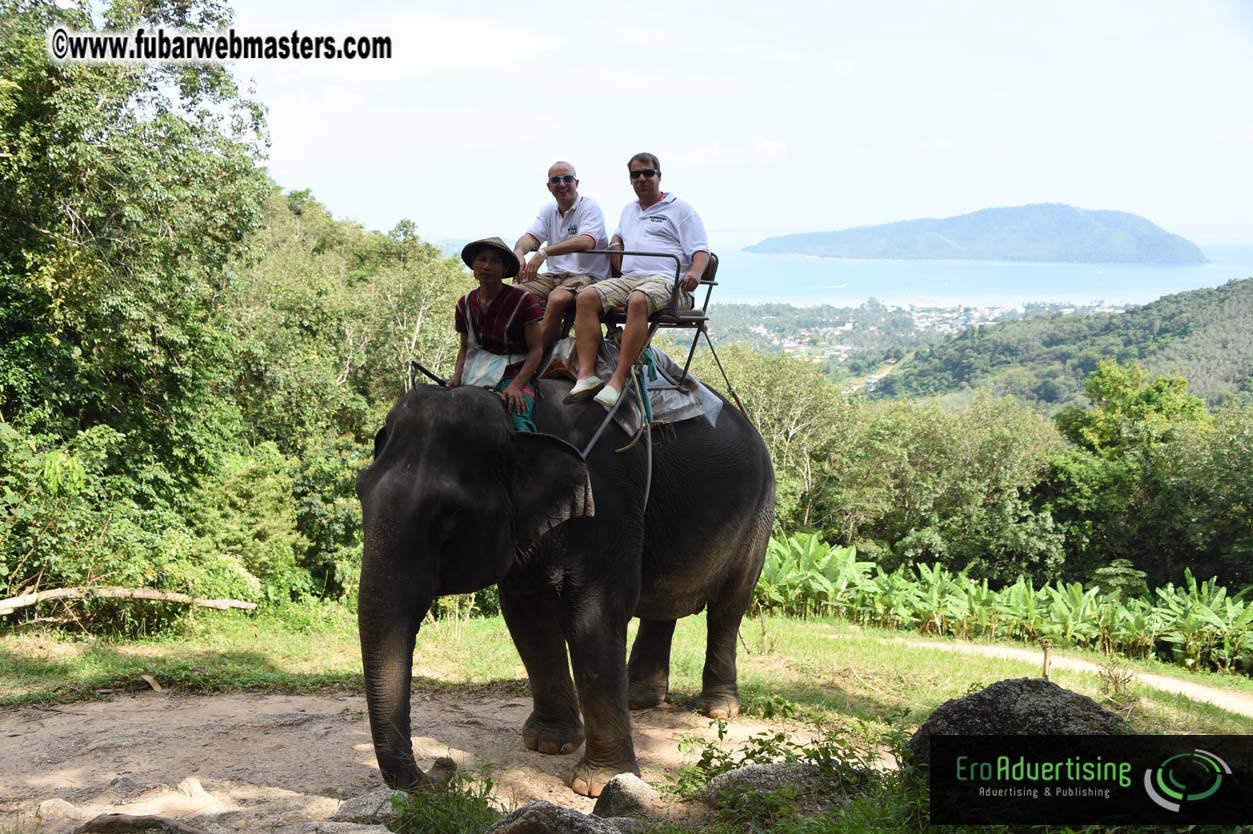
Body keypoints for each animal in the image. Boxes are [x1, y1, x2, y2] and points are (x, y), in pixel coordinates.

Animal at [356, 377, 775, 797]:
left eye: (449, 513)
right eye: (360, 491)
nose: (444, 765)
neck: (516, 419)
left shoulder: (607, 501)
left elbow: (596, 614)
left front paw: (596, 784)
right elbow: (527, 617)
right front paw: (549, 744)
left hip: (758, 517)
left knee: (728, 607)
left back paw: (718, 709)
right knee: (662, 606)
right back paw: (638, 699)